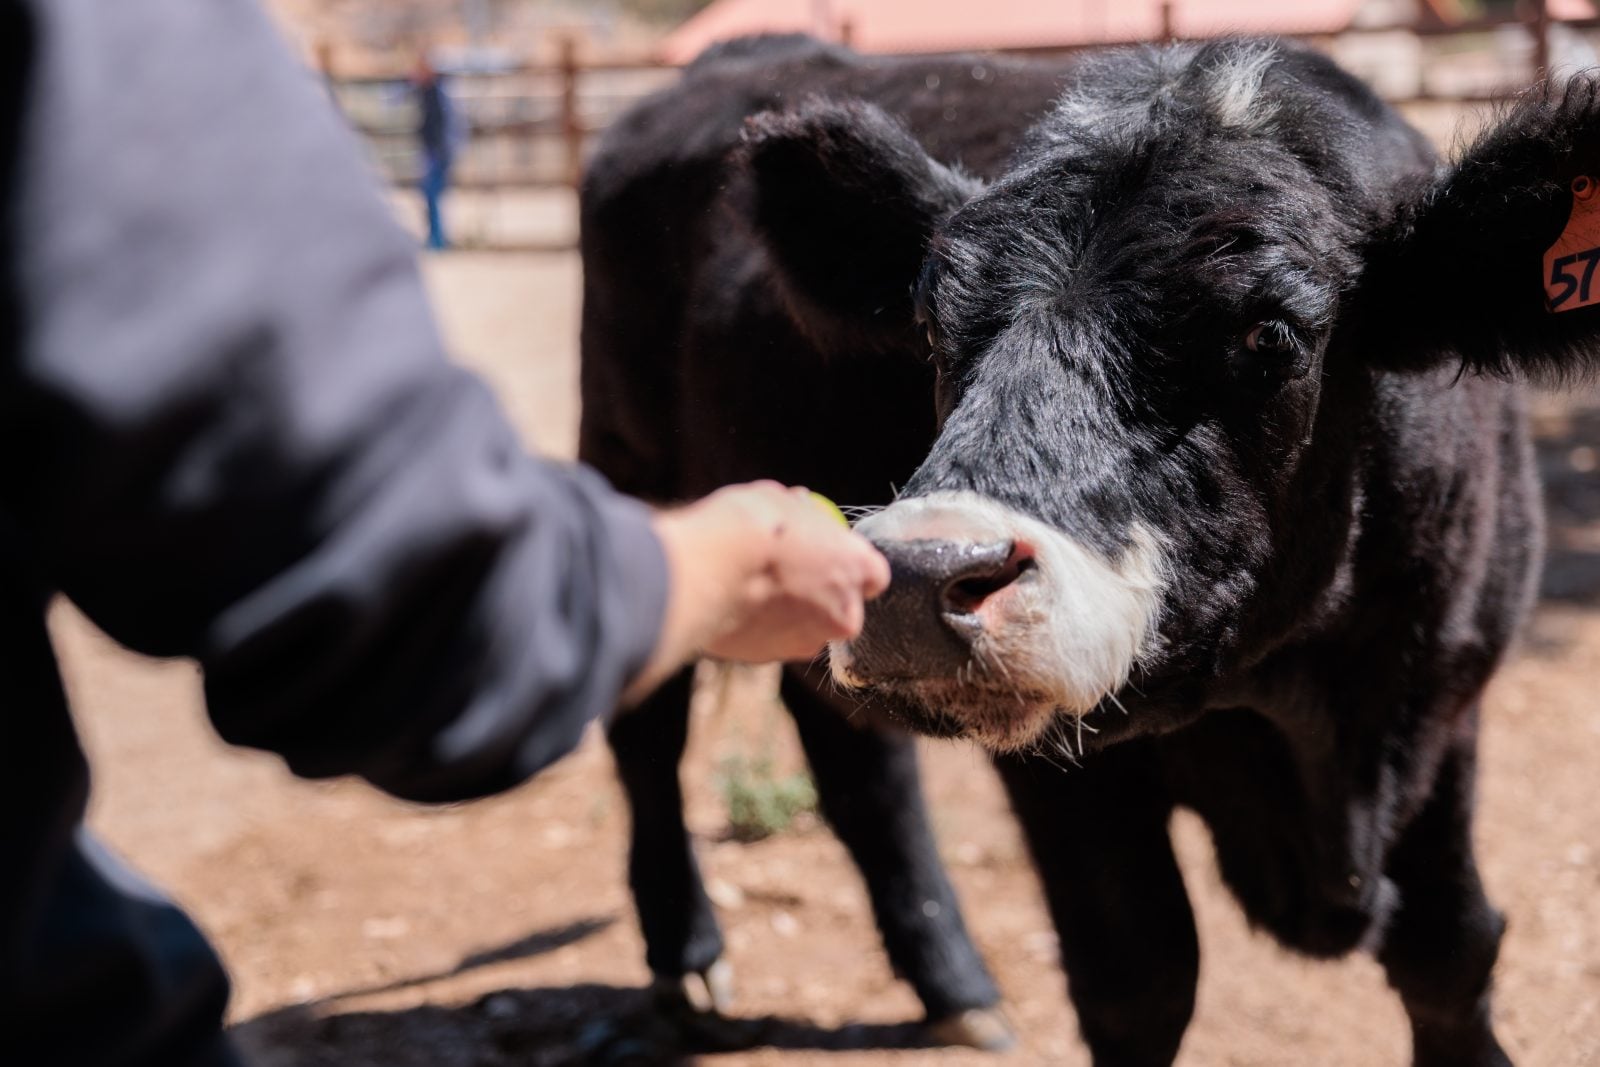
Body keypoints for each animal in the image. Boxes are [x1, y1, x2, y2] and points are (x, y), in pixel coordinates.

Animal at [581, 32, 1600, 1065]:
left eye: (1271, 335)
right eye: (930, 325)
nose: (918, 577)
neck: (1294, 711)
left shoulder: (1443, 695)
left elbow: (1449, 950)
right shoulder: (1068, 776)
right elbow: (1139, 979)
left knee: (853, 758)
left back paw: (952, 984)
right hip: (630, 469)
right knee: (650, 722)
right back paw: (690, 959)